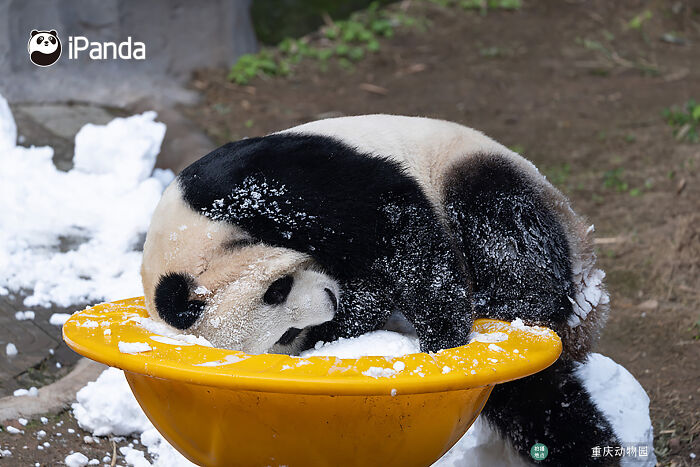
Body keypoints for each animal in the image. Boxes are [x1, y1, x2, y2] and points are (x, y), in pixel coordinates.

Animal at [141, 115, 618, 465]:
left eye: (276, 290)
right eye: (285, 335)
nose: (328, 303)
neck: (190, 234)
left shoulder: (257, 189)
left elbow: (392, 219)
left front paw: (441, 338)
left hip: (475, 168)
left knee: (501, 222)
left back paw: (506, 298)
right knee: (533, 398)